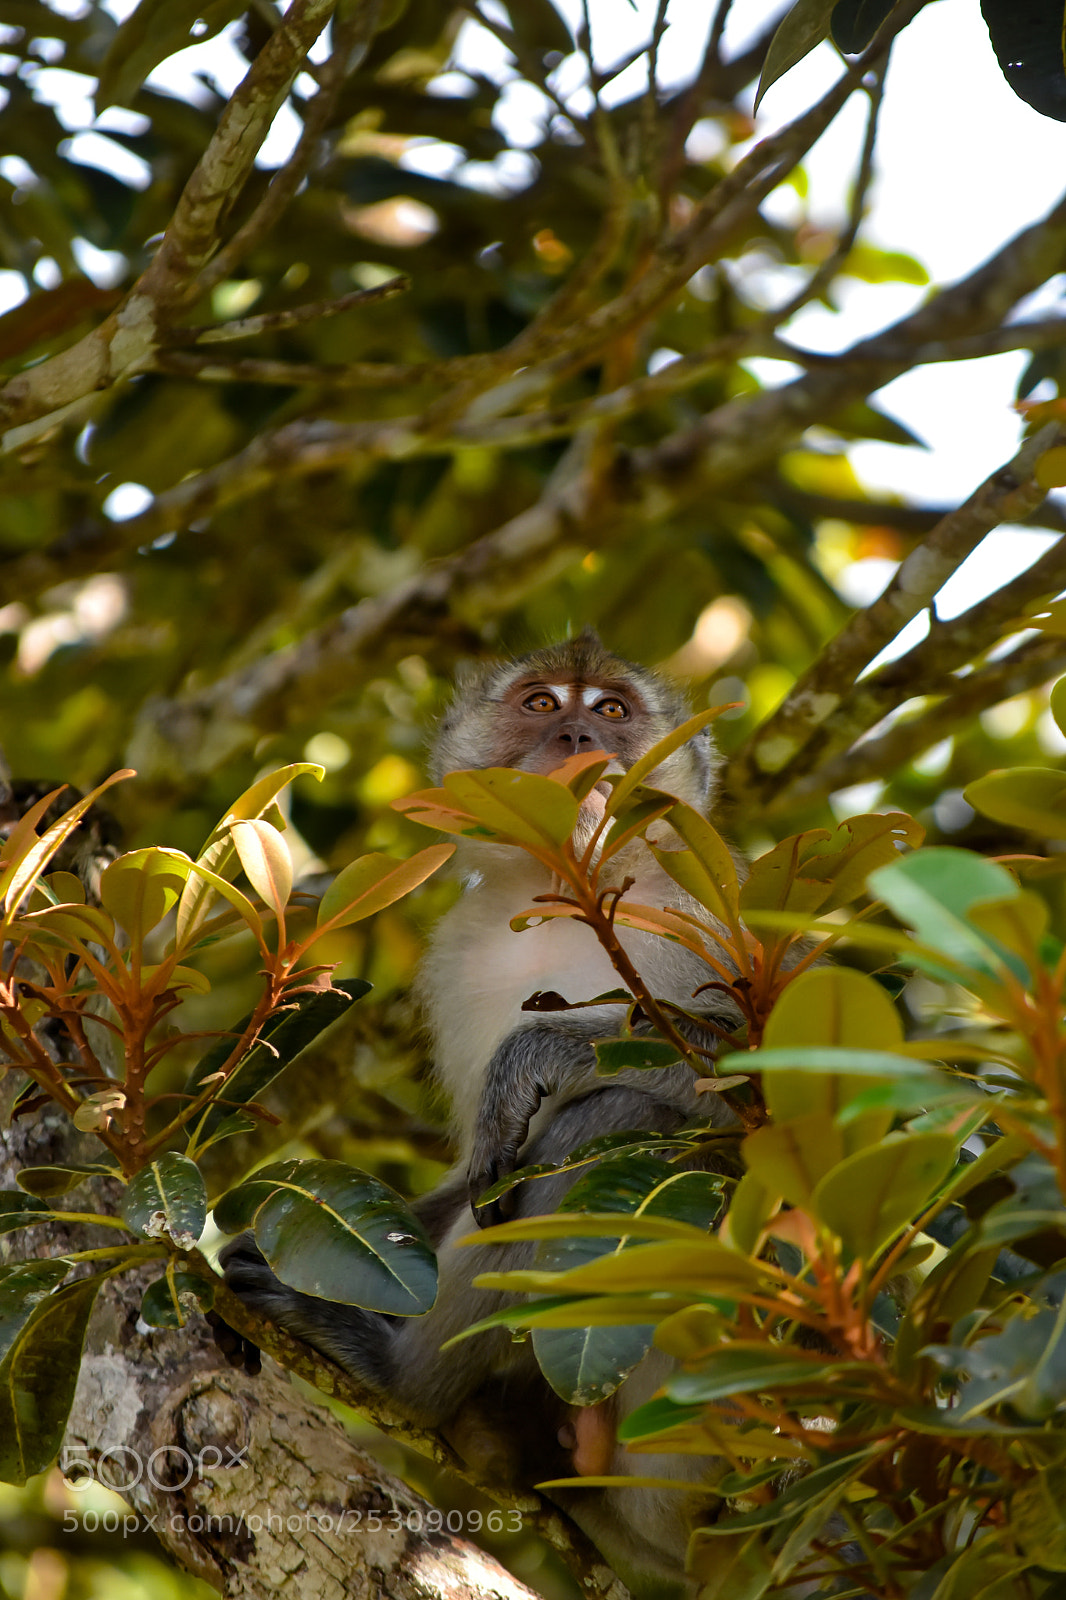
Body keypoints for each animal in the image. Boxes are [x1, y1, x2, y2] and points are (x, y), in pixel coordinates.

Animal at [220, 632, 745, 1594]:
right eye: (540, 705)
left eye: (612, 711)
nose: (578, 737)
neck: (564, 889)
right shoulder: (460, 953)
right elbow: (475, 1170)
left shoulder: (712, 903)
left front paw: (545, 1053)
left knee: (609, 1129)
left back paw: (403, 1381)